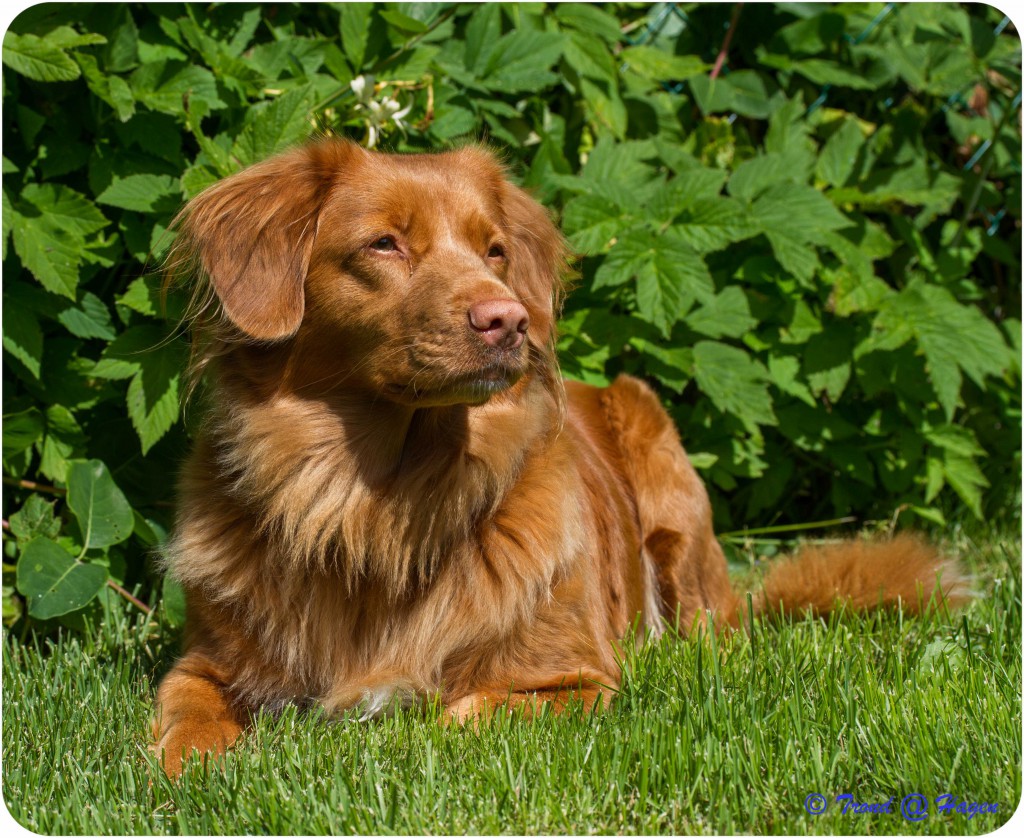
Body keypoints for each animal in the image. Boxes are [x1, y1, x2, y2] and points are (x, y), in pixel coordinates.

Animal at [153, 138, 966, 778]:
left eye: (494, 251)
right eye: (385, 244)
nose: (509, 319)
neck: (375, 505)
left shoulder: (577, 683)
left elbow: (451, 716)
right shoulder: (206, 662)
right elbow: (185, 709)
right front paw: (188, 767)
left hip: (670, 490)